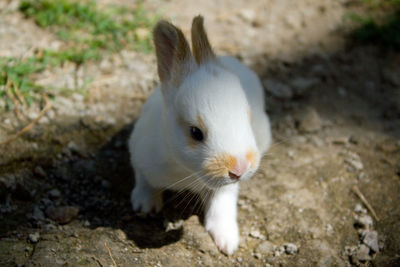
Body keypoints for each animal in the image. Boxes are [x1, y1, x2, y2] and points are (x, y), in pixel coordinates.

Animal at [129, 15, 272, 255]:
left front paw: (227, 241)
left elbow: (222, 204)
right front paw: (144, 205)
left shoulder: (225, 189)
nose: (240, 169)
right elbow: (144, 180)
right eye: (195, 132)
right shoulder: (139, 152)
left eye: (248, 117)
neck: (184, 169)